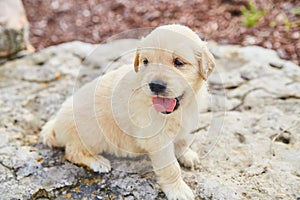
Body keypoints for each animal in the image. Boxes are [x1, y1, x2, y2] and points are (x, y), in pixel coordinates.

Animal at [41, 24, 214, 199]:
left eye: (178, 62)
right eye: (145, 62)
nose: (155, 85)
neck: (179, 110)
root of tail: (55, 125)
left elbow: (183, 142)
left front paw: (187, 155)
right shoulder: (157, 140)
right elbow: (170, 168)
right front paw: (177, 190)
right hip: (90, 133)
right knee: (72, 151)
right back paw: (98, 162)